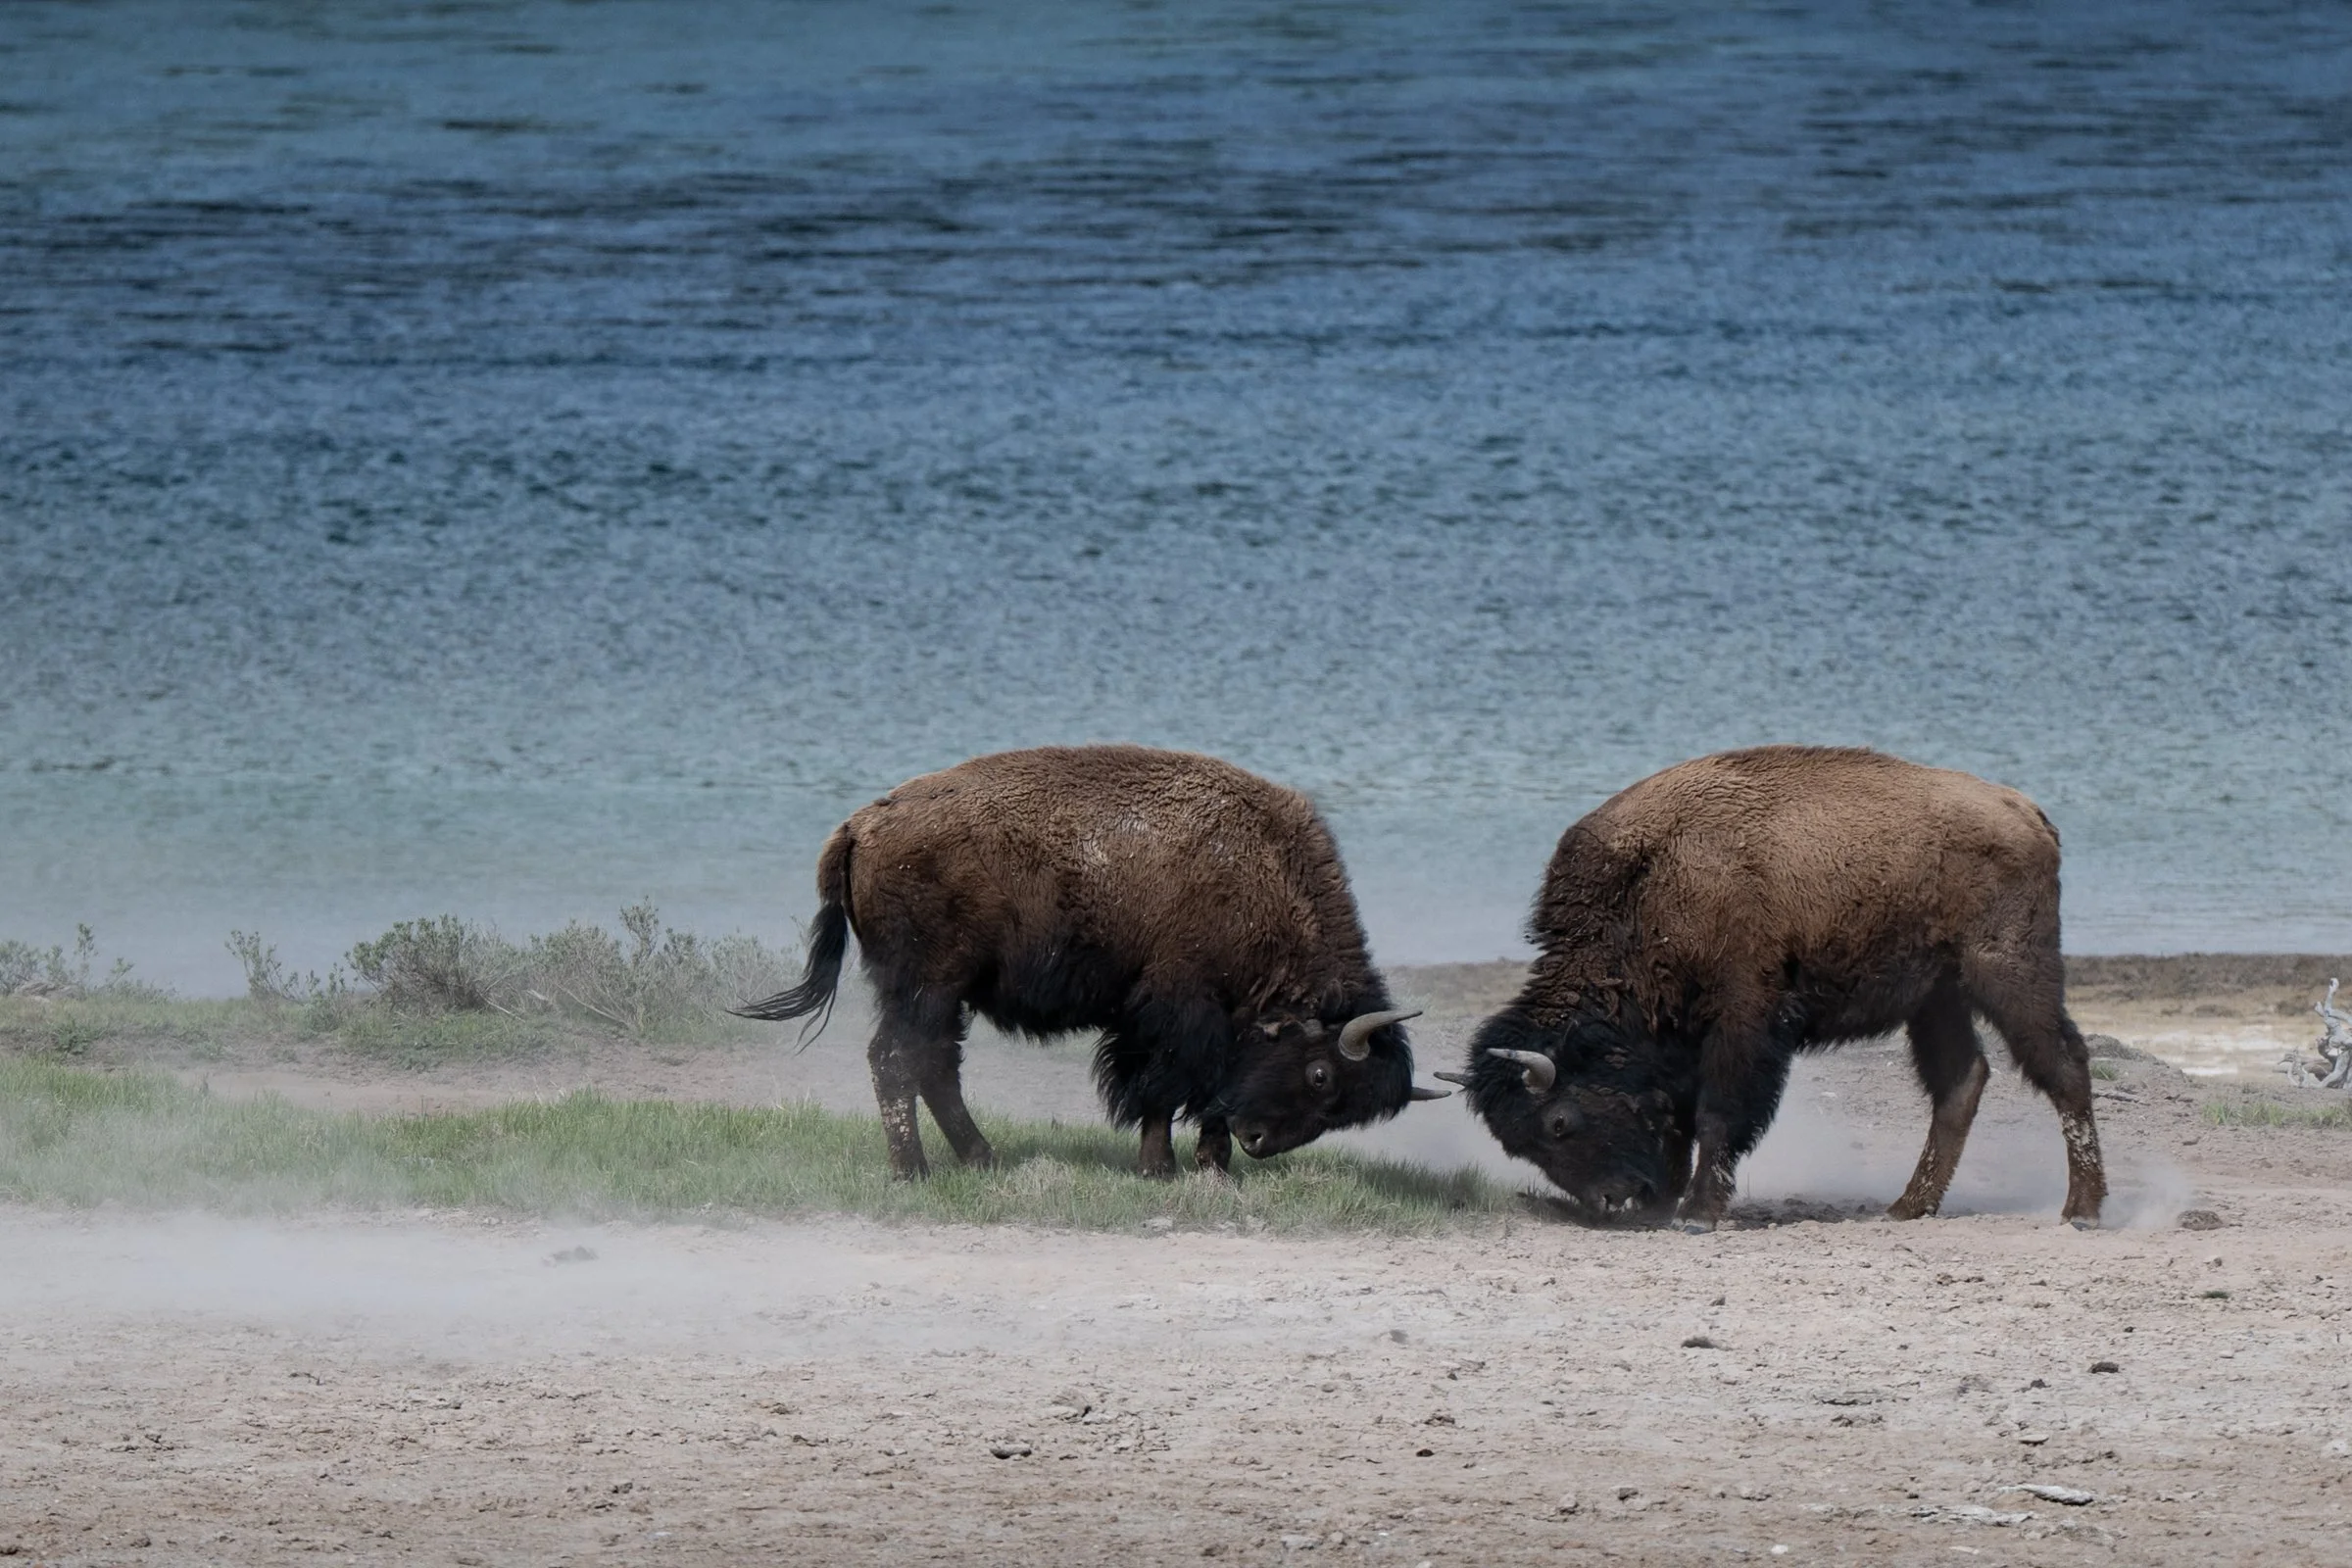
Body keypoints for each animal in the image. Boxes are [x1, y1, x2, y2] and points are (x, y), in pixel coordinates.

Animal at [735, 745, 1443, 1178]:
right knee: (897, 1060)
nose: (1259, 1143)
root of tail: (858, 827)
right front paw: (1164, 1167)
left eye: (1345, 1111)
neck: (1259, 872)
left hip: (939, 993)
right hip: (926, 985)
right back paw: (917, 1171)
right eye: (1321, 1075)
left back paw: (981, 1158)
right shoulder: (1180, 1013)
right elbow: (1166, 1088)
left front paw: (1208, 1164)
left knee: (933, 1065)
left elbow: (1197, 1092)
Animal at [1451, 747, 2106, 1232]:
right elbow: (1679, 1117)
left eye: (1558, 1123)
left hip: (2009, 972)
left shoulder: (1742, 1020)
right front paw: (1666, 1203)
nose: (1609, 1201)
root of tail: (2025, 810)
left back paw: (2082, 1210)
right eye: (1517, 1145)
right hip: (1936, 998)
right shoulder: (1680, 1039)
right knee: (1960, 1081)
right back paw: (1906, 1208)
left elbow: (1716, 1114)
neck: (1646, 888)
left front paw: (1696, 1214)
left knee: (2063, 1064)